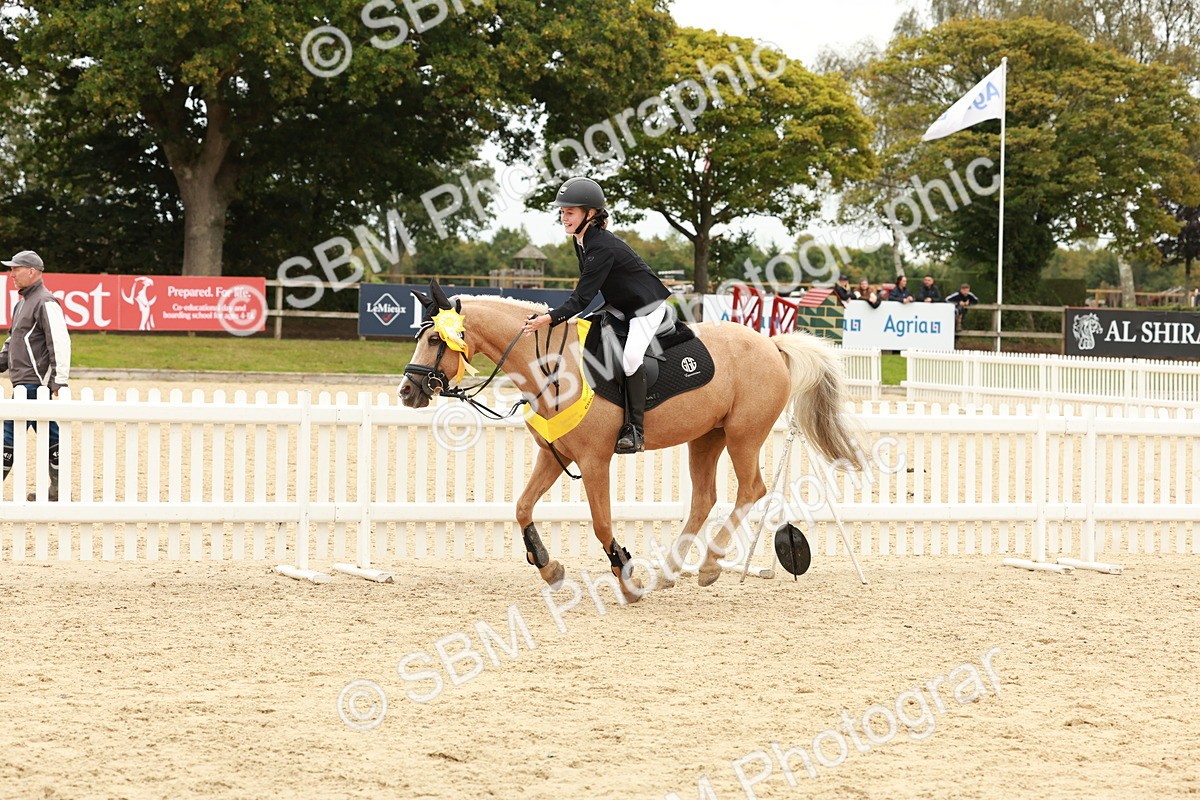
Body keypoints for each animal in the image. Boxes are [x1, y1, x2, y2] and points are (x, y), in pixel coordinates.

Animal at [398, 281, 861, 601]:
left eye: (436, 339)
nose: (407, 392)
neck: (551, 364)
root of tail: (771, 343)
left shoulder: (594, 460)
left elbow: (601, 522)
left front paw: (626, 578)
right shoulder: (553, 456)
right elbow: (522, 508)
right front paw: (549, 567)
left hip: (743, 436)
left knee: (751, 489)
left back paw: (709, 566)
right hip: (706, 438)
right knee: (704, 499)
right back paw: (671, 572)